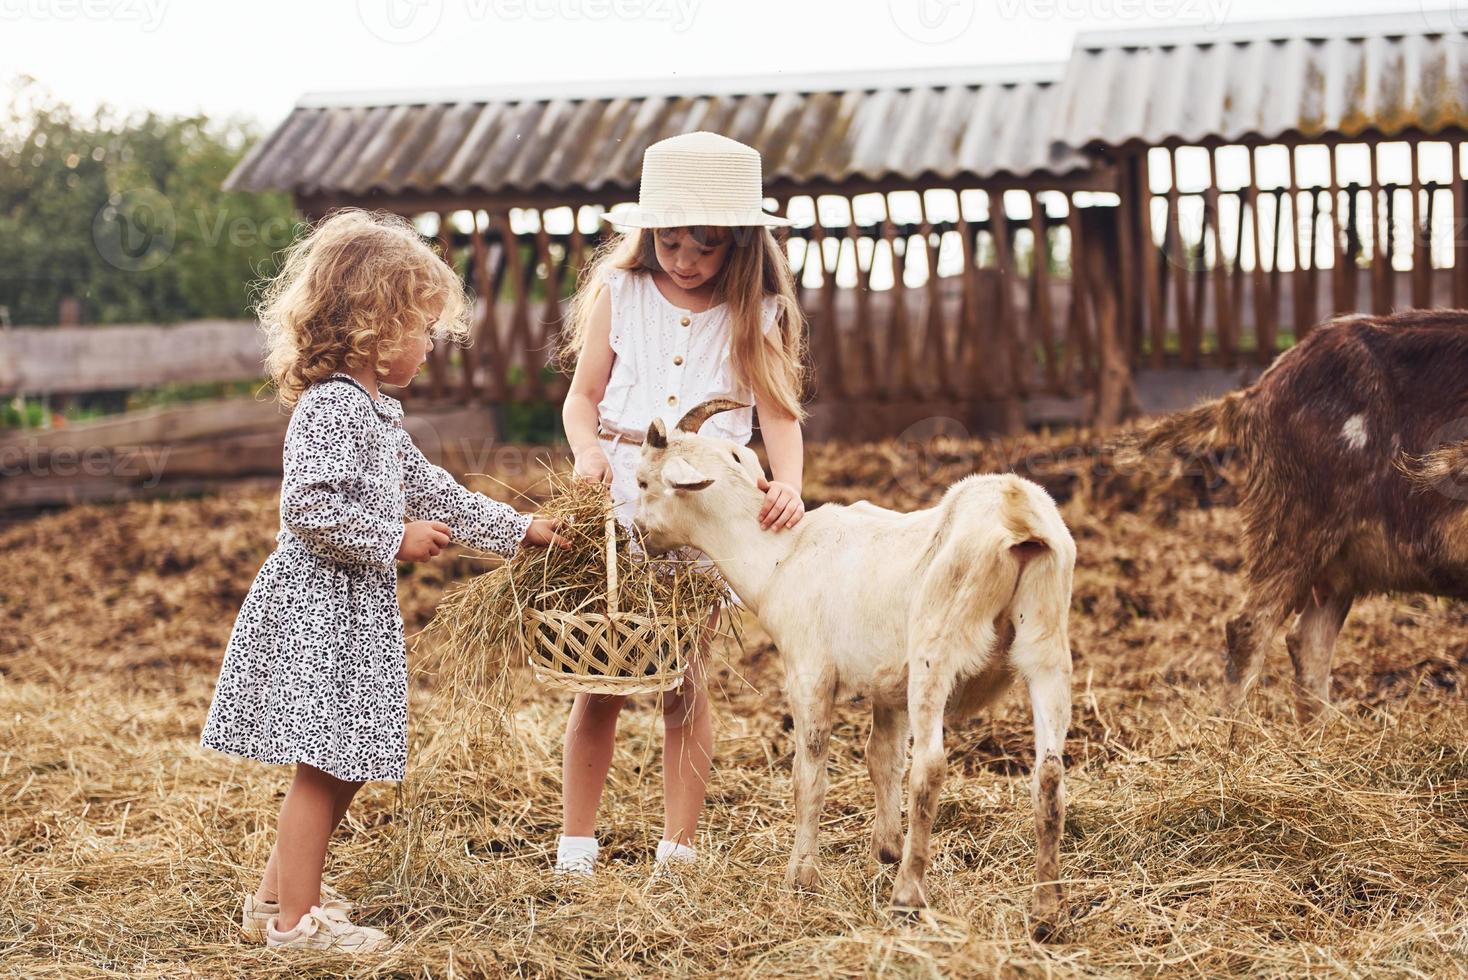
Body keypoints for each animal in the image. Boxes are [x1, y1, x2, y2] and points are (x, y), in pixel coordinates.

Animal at [631, 399, 1080, 933]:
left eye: (641, 482)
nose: (635, 536)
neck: (780, 555)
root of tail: (1017, 515)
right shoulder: (888, 688)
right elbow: (881, 759)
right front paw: (884, 850)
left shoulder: (809, 673)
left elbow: (809, 772)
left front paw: (801, 877)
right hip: (1046, 646)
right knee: (1049, 771)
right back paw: (1046, 908)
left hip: (937, 647)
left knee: (930, 766)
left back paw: (908, 894)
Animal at [1127, 309, 1462, 724]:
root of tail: (1257, 392)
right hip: (1300, 522)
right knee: (1249, 627)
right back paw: (1234, 735)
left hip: (1338, 558)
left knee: (1306, 640)